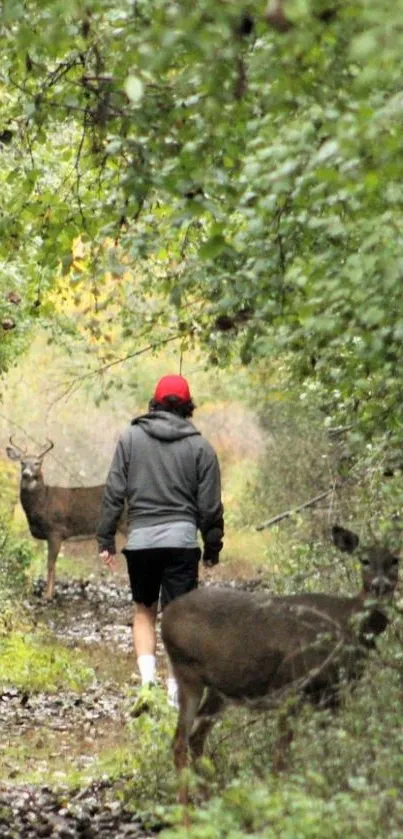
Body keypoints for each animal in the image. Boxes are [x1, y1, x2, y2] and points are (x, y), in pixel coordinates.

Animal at [5, 436, 112, 600]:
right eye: (22, 462)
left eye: (37, 463)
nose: (27, 474)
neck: (43, 502)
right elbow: (53, 565)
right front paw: (53, 593)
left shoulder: (55, 530)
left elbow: (50, 564)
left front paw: (47, 595)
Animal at [163, 524, 400, 796]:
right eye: (364, 560)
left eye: (395, 560)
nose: (380, 586)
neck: (346, 624)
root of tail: (166, 616)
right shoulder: (292, 688)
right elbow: (281, 758)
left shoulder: (334, 695)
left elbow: (327, 751)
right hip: (187, 672)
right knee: (179, 741)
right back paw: (186, 807)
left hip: (220, 690)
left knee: (195, 737)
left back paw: (207, 797)